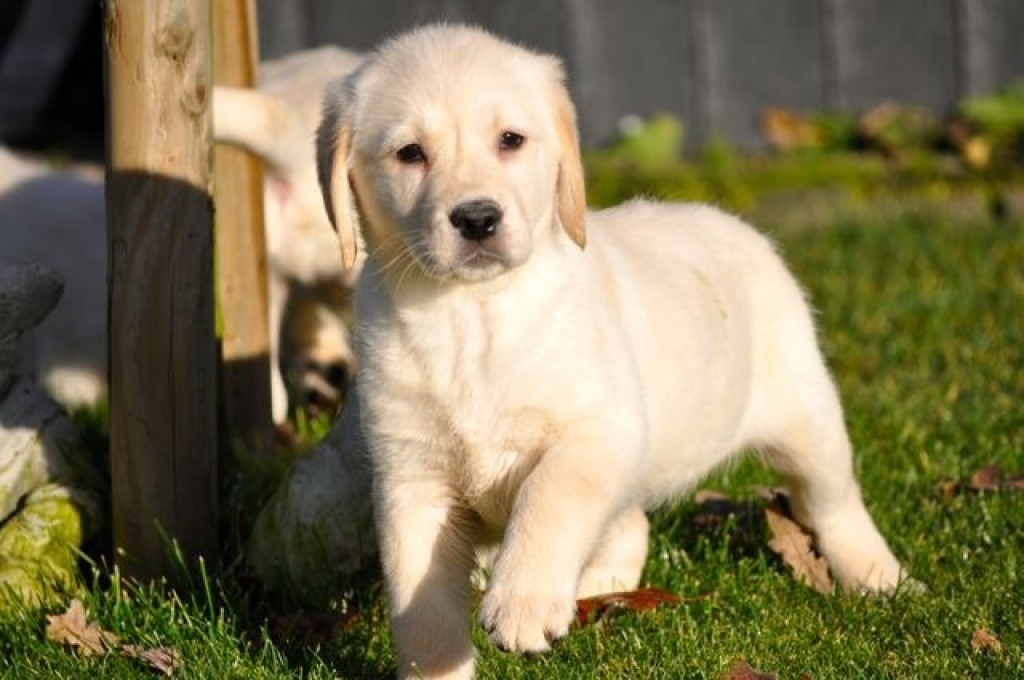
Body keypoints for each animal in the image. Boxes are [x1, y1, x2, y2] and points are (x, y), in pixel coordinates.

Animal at [317, 23, 905, 675]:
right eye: (410, 153)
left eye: (510, 140)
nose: (476, 218)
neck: (472, 316)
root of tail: (733, 223)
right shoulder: (412, 479)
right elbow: (421, 609)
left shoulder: (600, 432)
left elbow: (550, 497)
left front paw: (522, 603)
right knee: (631, 525)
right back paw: (599, 586)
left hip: (806, 417)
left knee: (833, 501)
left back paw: (877, 574)